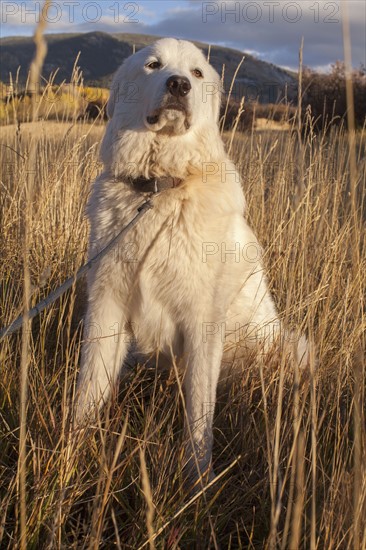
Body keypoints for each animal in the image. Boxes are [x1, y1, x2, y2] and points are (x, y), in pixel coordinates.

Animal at [76, 38, 308, 486]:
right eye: (154, 65)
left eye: (197, 73)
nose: (179, 85)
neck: (162, 187)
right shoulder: (107, 306)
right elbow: (90, 386)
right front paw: (68, 447)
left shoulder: (203, 324)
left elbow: (199, 410)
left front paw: (198, 480)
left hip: (286, 348)